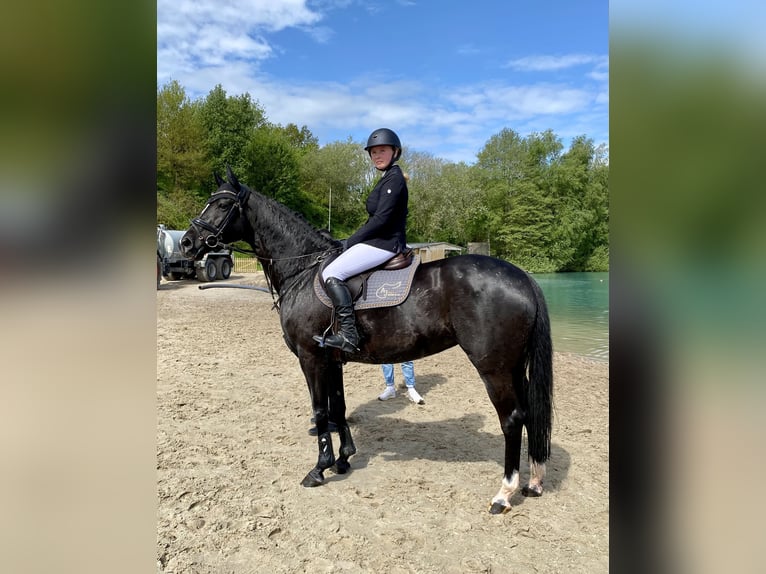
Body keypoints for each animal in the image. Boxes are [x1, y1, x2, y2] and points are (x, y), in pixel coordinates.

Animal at [180, 167, 554, 515]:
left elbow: (320, 410)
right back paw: (534, 481)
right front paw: (343, 460)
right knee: (530, 413)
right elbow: (338, 407)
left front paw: (319, 469)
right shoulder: (331, 360)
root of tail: (521, 276)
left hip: (494, 368)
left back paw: (503, 494)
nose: (186, 242)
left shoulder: (310, 358)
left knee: (512, 418)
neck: (303, 269)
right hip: (514, 366)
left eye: (223, 204)